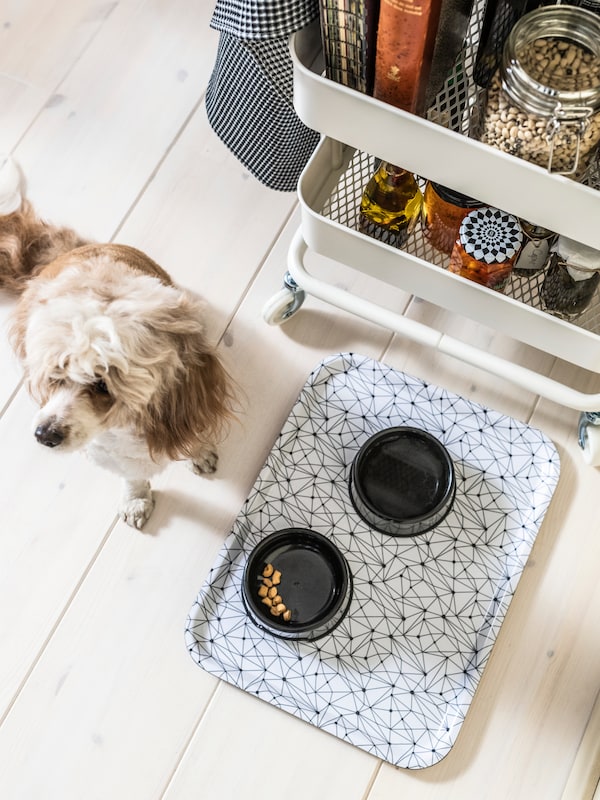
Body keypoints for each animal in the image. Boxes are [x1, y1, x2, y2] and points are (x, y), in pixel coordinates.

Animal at [0, 157, 234, 532]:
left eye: (102, 386)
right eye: (52, 375)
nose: (44, 434)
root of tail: (69, 251)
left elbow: (191, 433)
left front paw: (197, 450)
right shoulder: (107, 452)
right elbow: (131, 476)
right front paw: (136, 500)